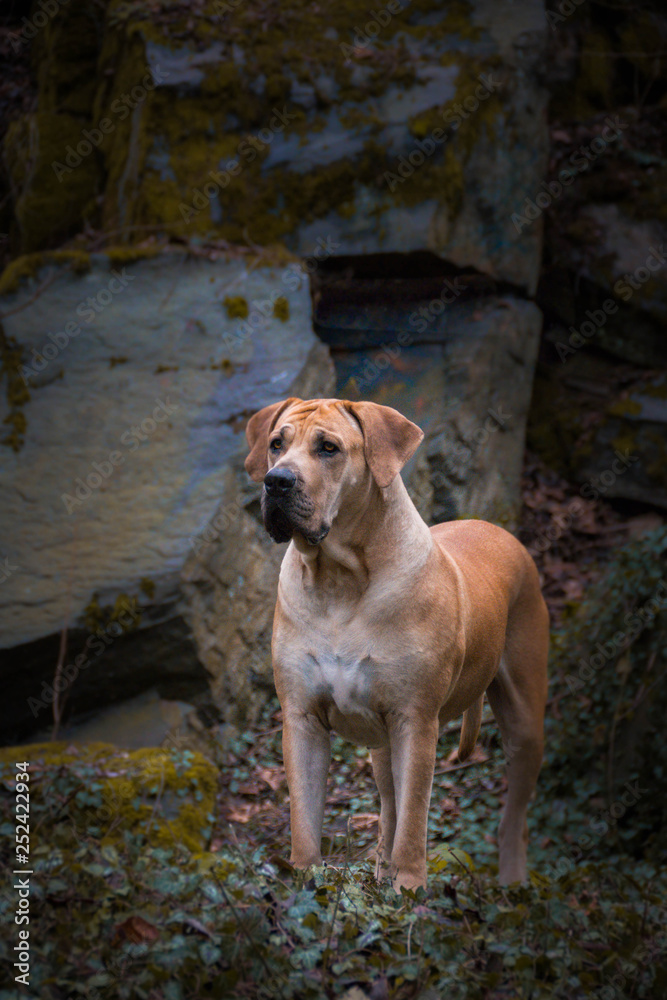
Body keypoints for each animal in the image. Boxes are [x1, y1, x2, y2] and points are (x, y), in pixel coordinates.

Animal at [245, 398, 548, 892]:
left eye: (328, 448)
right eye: (276, 444)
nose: (276, 480)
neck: (339, 581)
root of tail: (500, 530)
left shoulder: (415, 720)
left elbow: (414, 817)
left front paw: (409, 888)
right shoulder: (302, 718)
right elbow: (305, 816)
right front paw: (305, 879)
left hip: (524, 719)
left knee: (512, 813)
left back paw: (511, 881)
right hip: (380, 740)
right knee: (388, 803)